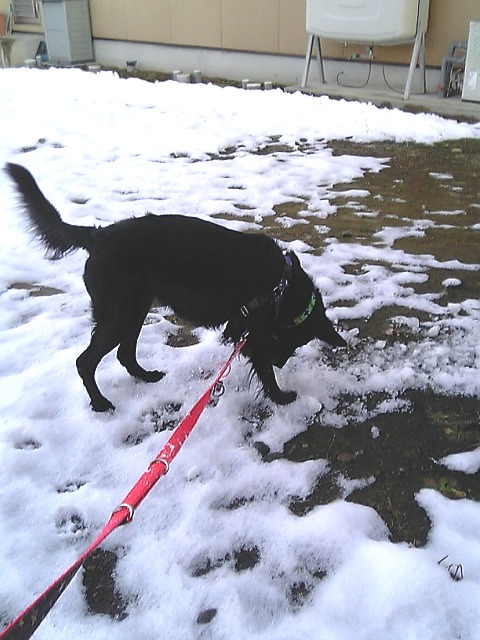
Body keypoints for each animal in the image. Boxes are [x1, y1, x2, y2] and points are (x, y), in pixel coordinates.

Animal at [6, 163, 347, 412]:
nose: (281, 361)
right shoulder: (257, 335)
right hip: (121, 315)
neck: (282, 284)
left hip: (135, 310)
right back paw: (101, 403)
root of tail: (97, 235)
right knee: (85, 361)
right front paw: (282, 397)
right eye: (293, 342)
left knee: (124, 354)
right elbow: (265, 371)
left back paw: (146, 377)